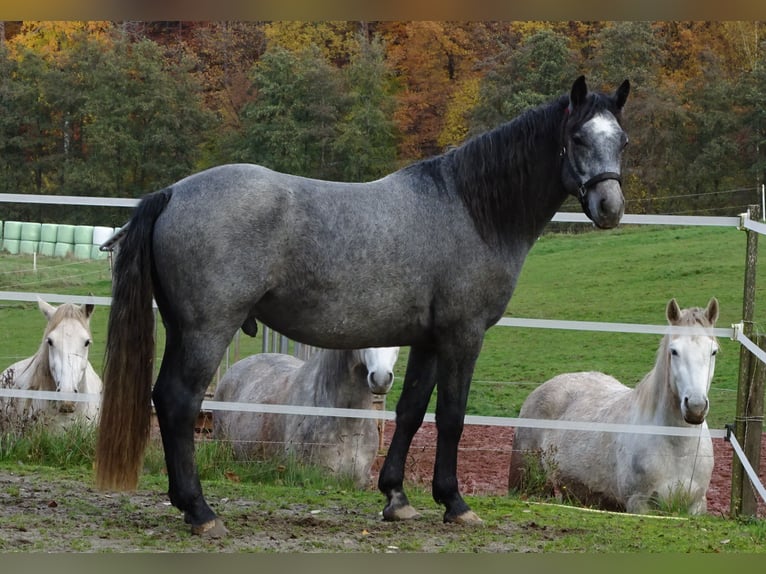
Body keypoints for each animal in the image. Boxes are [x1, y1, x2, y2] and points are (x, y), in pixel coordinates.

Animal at [508, 298, 719, 515]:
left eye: (713, 351)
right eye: (674, 351)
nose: (695, 407)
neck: (677, 449)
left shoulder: (696, 505)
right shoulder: (639, 503)